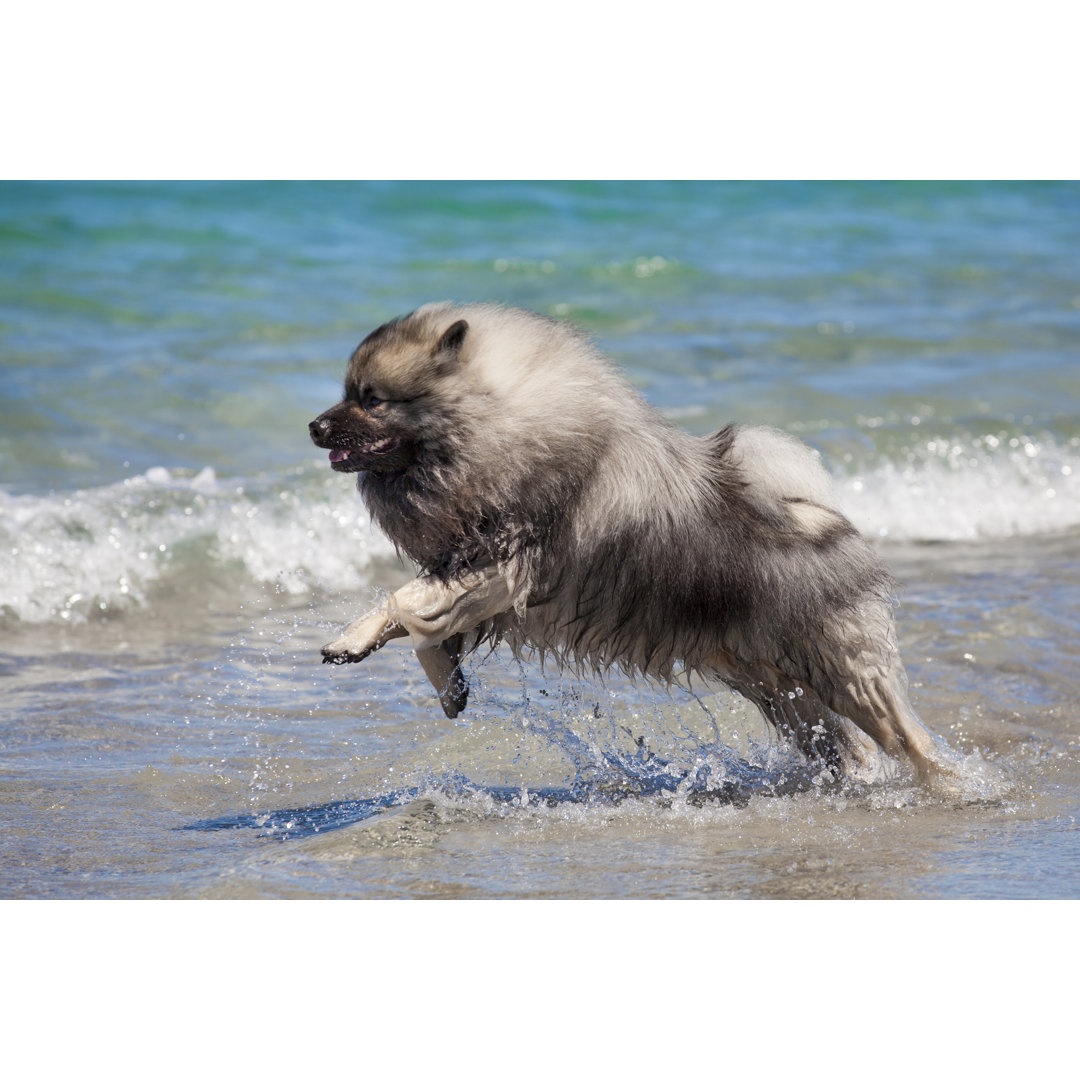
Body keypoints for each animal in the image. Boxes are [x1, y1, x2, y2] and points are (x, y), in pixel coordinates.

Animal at [311, 300, 963, 790]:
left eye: (371, 398)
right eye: (348, 392)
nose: (314, 426)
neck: (501, 423)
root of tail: (825, 519)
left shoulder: (505, 565)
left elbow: (405, 602)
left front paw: (350, 640)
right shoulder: (473, 574)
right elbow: (424, 625)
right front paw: (446, 686)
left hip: (841, 673)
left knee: (909, 738)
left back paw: (950, 788)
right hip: (779, 689)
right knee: (848, 749)